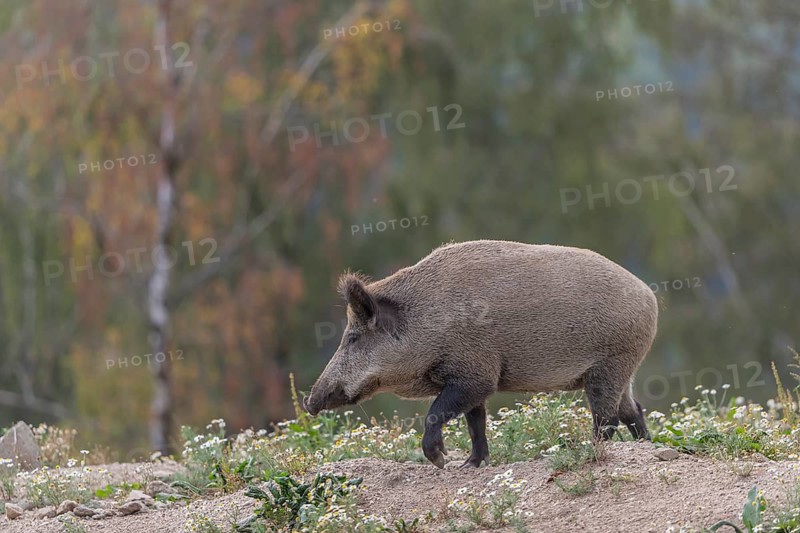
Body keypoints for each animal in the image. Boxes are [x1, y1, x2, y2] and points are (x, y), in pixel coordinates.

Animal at [303, 240, 658, 468]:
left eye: (353, 337)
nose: (309, 402)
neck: (427, 321)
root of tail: (649, 296)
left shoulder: (475, 373)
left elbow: (438, 412)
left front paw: (441, 461)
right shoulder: (473, 379)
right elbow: (476, 422)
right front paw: (471, 465)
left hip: (610, 364)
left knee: (607, 418)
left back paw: (591, 451)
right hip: (621, 369)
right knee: (633, 409)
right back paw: (646, 445)